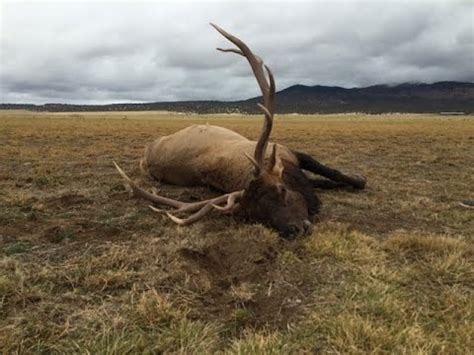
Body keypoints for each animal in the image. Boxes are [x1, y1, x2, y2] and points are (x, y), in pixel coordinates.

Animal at [113, 23, 364, 238]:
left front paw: (356, 179)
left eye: (282, 190)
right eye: (255, 216)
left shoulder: (293, 153)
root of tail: (147, 151)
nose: (294, 229)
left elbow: (332, 173)